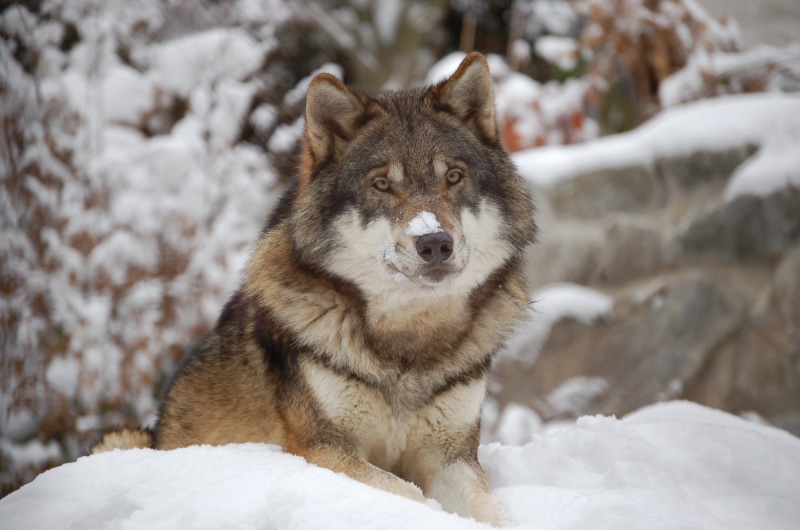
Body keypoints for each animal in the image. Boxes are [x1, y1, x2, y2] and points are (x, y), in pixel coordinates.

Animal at [93, 52, 536, 525]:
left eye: (453, 177)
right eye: (382, 184)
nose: (434, 242)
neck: (407, 345)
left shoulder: (451, 456)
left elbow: (488, 511)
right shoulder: (323, 449)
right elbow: (408, 495)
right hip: (122, 439)